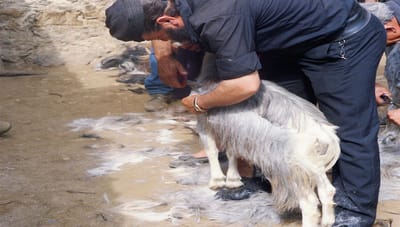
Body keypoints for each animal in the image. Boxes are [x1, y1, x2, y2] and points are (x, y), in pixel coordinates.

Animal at [194, 52, 340, 225]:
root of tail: (323, 133)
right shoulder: (235, 131)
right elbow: (232, 153)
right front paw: (233, 180)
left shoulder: (204, 121)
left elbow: (211, 150)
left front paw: (216, 182)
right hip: (312, 164)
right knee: (327, 190)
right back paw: (328, 221)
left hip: (290, 169)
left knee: (309, 203)